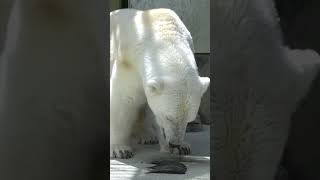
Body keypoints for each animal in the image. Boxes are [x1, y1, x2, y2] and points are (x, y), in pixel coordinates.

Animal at [110, 8, 210, 158]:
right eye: (168, 117)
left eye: (189, 120)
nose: (174, 143)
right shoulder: (128, 63)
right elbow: (123, 100)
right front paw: (120, 149)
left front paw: (183, 147)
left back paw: (147, 136)